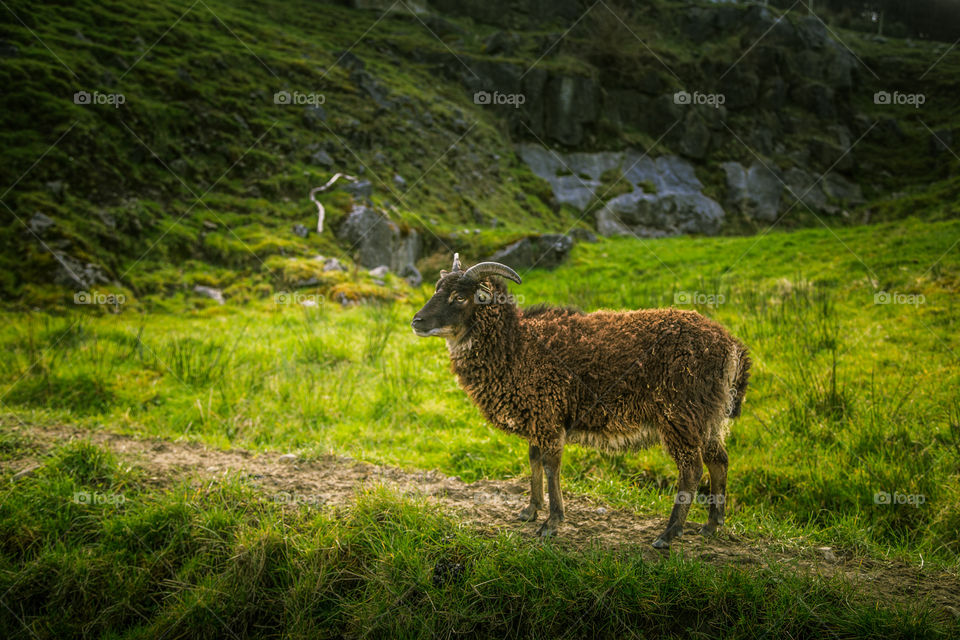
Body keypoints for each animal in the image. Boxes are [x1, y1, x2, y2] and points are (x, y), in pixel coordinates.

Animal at [410, 252, 752, 548]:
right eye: (437, 289)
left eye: (459, 297)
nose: (417, 322)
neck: (515, 344)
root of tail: (732, 347)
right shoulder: (538, 415)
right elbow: (533, 460)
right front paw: (530, 511)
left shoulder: (548, 414)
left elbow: (551, 467)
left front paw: (552, 522)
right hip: (708, 416)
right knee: (719, 461)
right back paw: (712, 524)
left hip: (681, 414)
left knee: (692, 470)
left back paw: (669, 534)